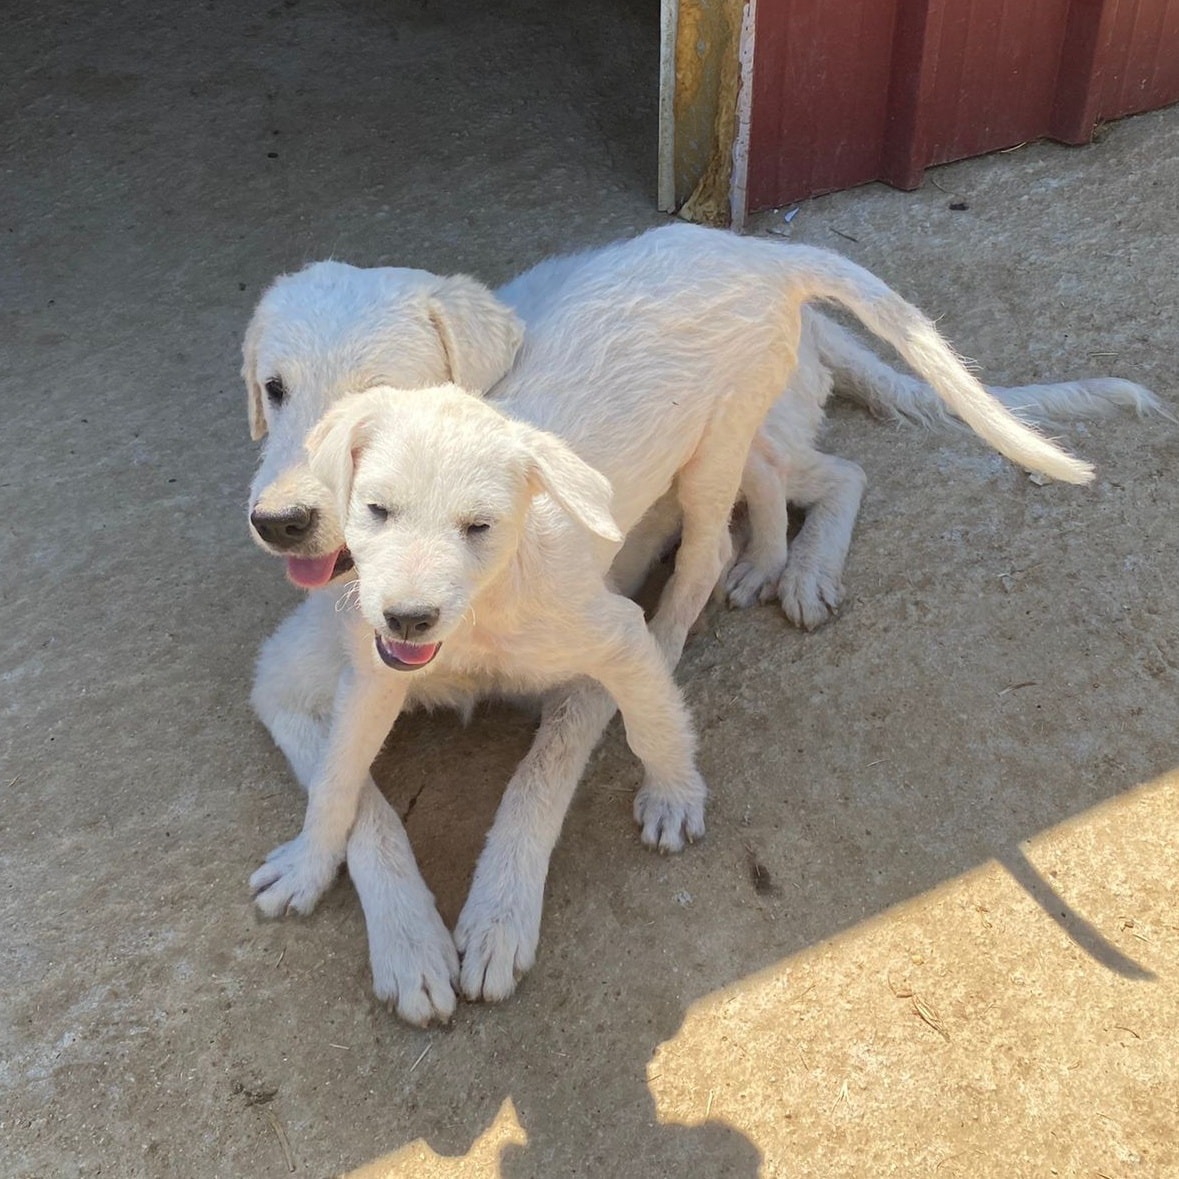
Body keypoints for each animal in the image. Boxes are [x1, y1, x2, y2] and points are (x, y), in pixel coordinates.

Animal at [239, 225, 1150, 1018]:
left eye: (376, 395)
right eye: (273, 389)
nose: (280, 522)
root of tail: (755, 250)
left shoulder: (589, 654)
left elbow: (540, 777)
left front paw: (500, 914)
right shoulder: (308, 679)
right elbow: (349, 790)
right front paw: (392, 931)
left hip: (722, 435)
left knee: (788, 499)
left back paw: (772, 581)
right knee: (778, 487)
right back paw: (770, 561)